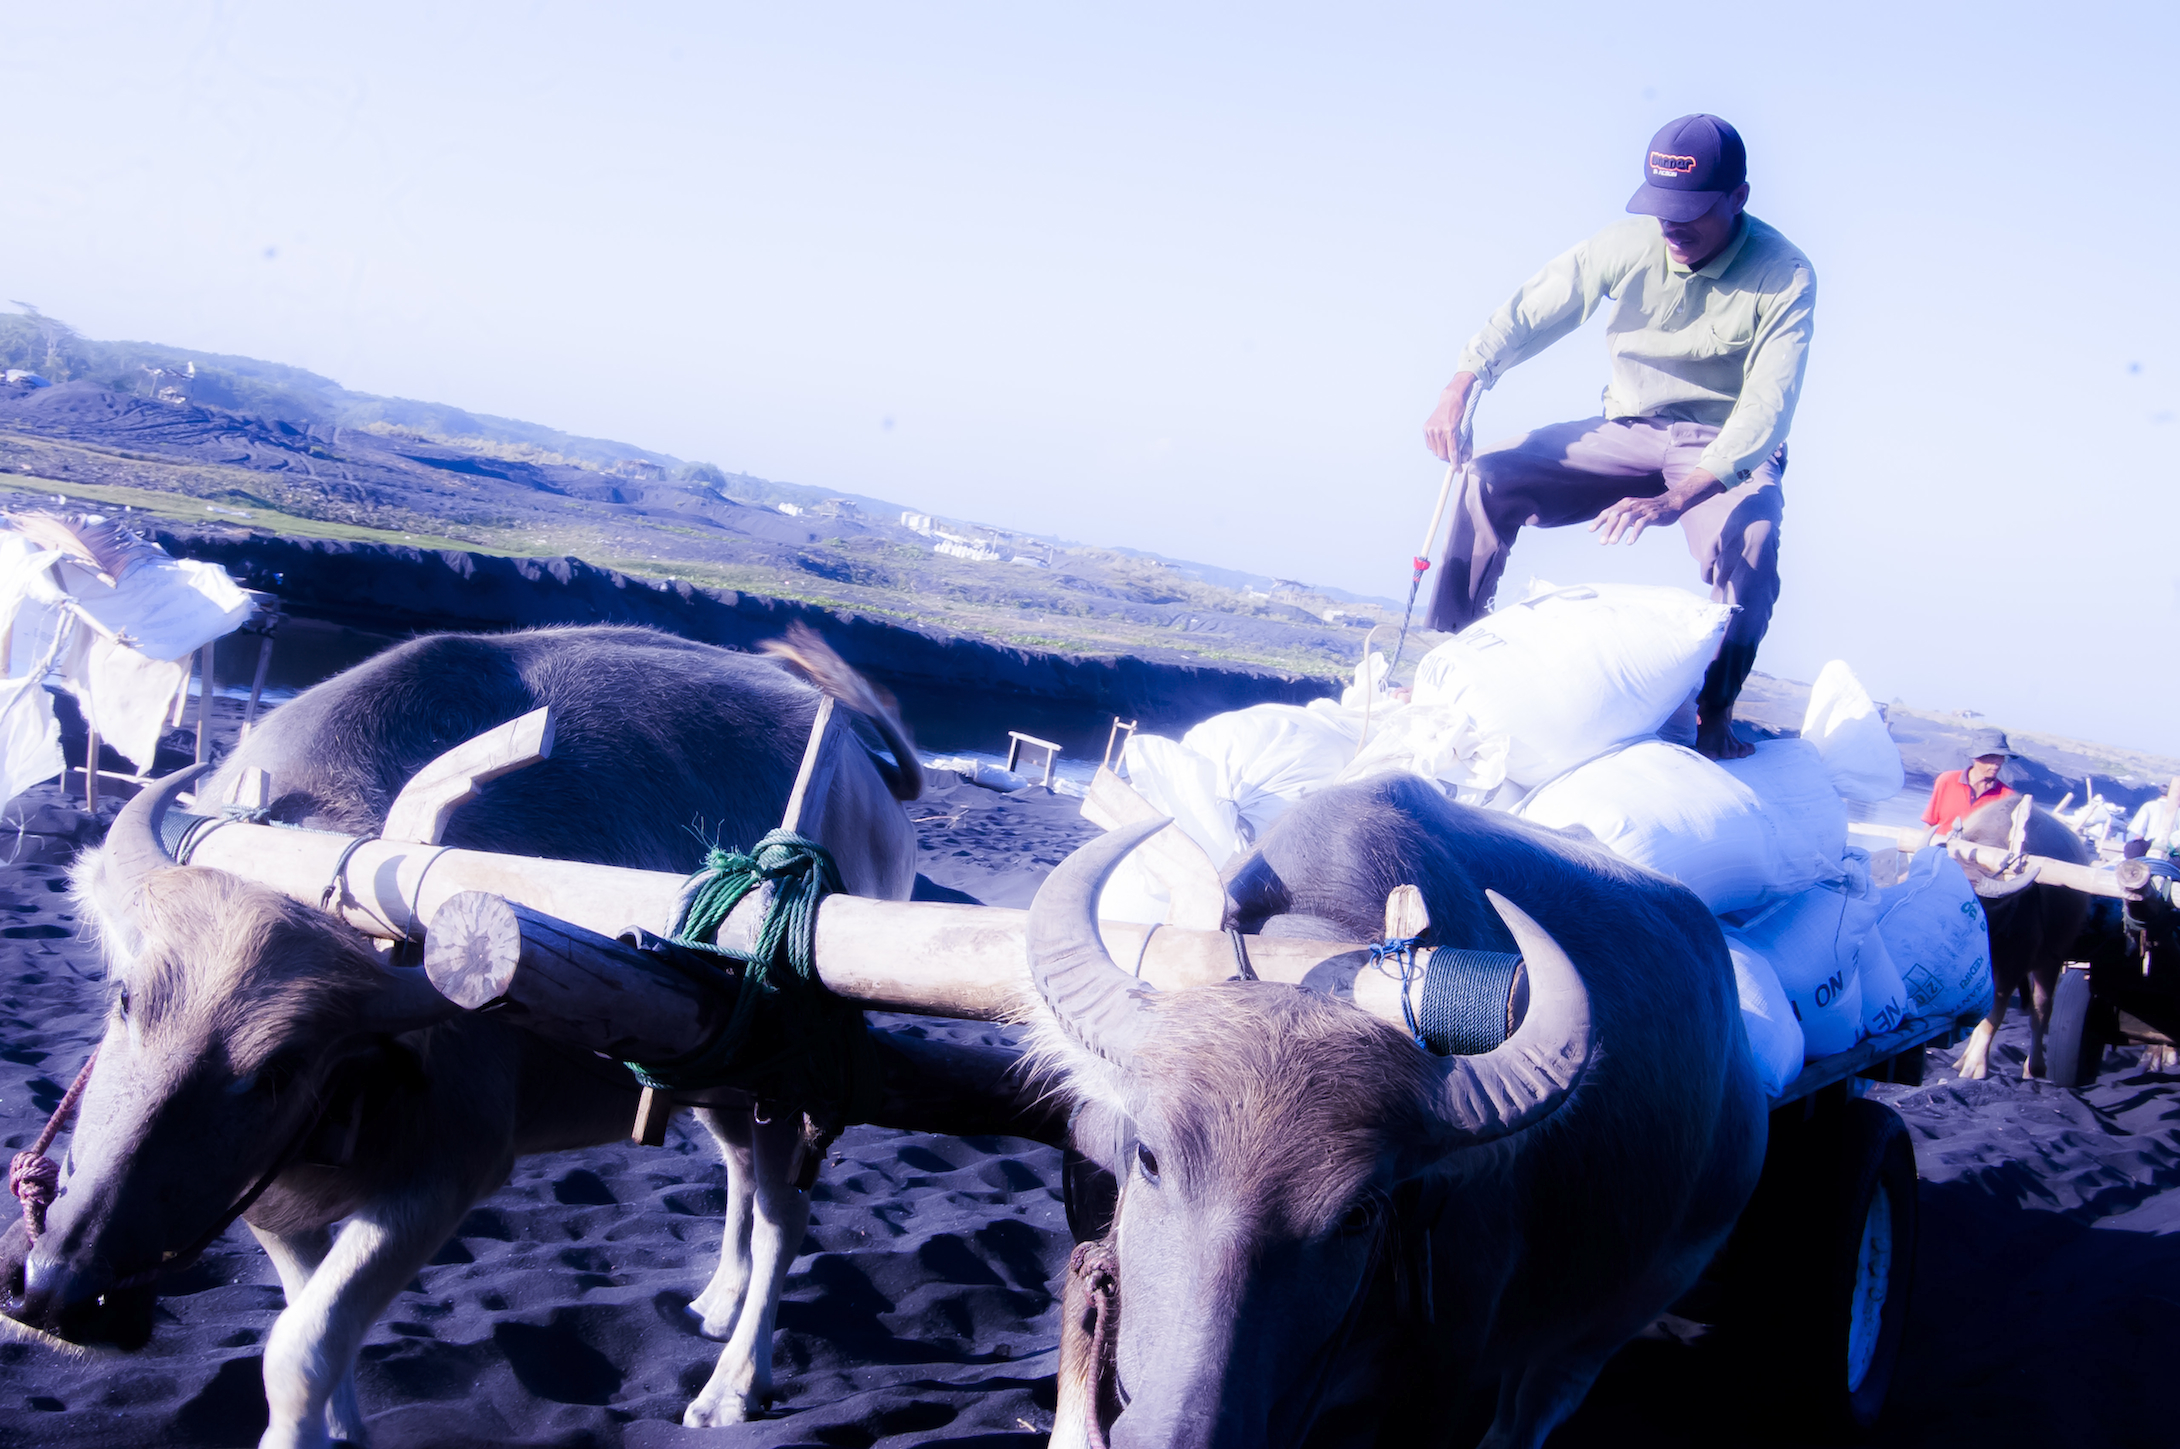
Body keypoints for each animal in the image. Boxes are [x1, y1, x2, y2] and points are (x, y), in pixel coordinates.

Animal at [2, 623, 919, 1446]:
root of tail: (869, 786)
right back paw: (719, 1298)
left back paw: (732, 1386)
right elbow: (311, 1322)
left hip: (789, 1076)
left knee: (783, 1216)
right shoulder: (269, 1201)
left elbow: (299, 1348)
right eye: (126, 999)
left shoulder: (447, 1175)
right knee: (739, 1175)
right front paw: (344, 1431)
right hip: (715, 1070)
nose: (53, 1289)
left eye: (279, 1065)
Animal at [1033, 780, 1770, 1446]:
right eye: (1148, 1157)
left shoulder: (1441, 1383)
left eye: (1359, 1214)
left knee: (1531, 1409)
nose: (1174, 1433)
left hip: (1616, 1315)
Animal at [1962, 797, 2092, 1080]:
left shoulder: (2013, 967)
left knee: (2040, 1011)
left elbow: (1993, 1015)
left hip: (2051, 961)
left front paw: (1975, 1065)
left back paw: (2034, 1067)